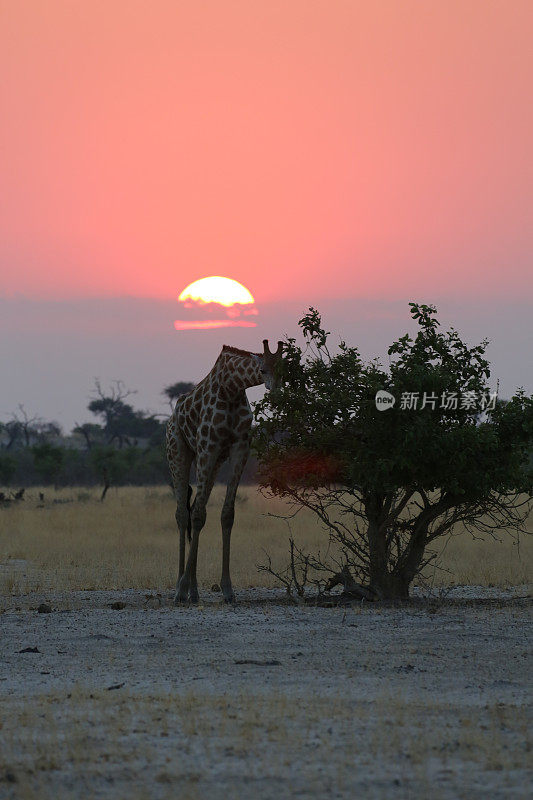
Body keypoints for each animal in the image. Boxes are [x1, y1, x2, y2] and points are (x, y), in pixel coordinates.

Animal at [165, 340, 282, 608]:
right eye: (262, 370)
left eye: (283, 370)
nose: (275, 392)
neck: (232, 388)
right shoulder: (208, 445)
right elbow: (197, 515)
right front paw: (182, 589)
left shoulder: (239, 448)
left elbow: (226, 514)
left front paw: (228, 590)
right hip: (178, 452)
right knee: (182, 514)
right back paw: (180, 588)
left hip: (215, 461)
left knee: (194, 508)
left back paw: (194, 591)